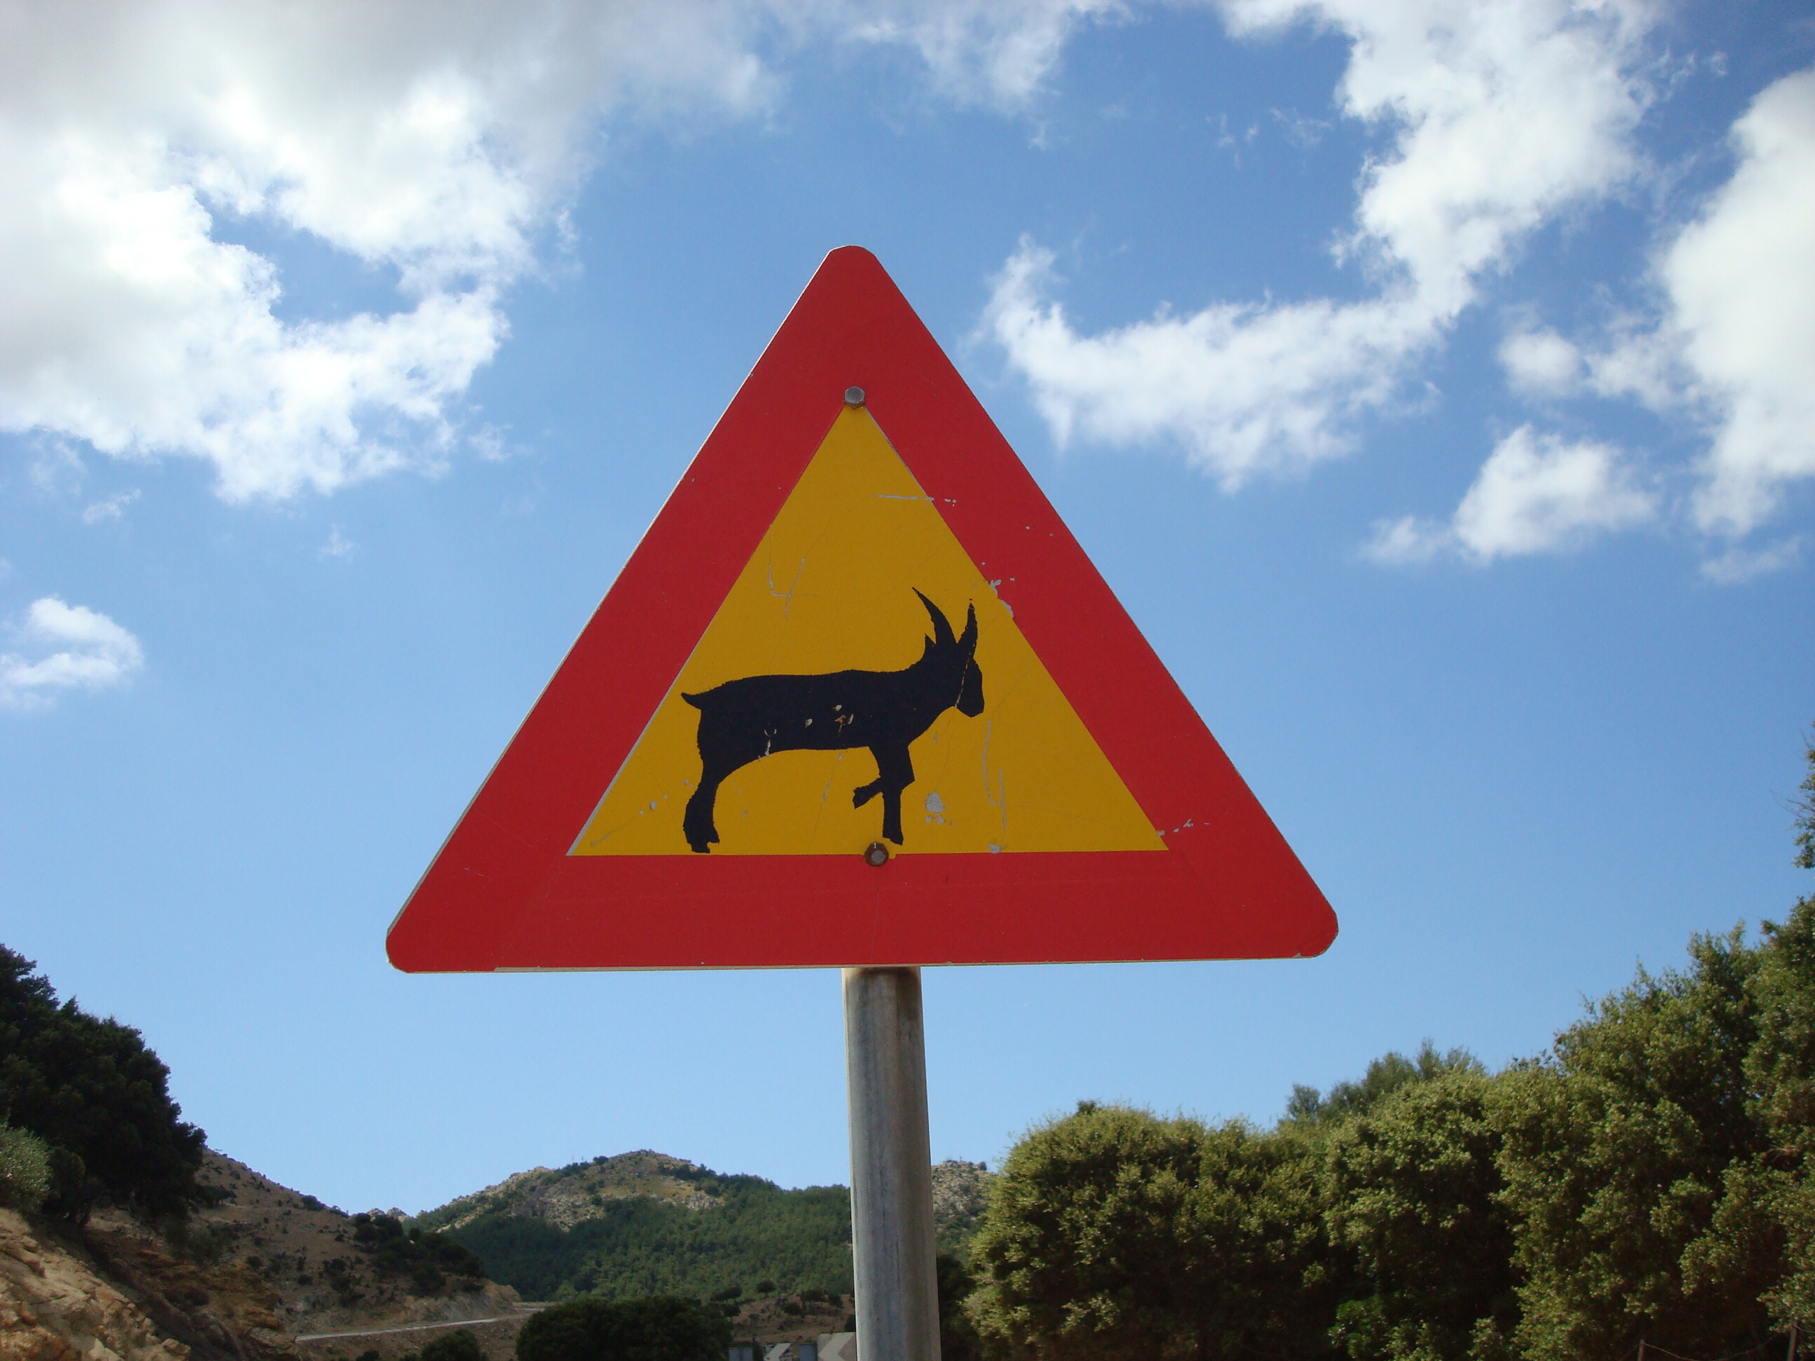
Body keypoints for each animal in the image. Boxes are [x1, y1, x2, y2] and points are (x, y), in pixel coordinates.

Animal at [680, 590, 984, 853]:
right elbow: (900, 777)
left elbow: (900, 778)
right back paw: (700, 844)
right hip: (725, 754)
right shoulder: (886, 742)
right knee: (701, 794)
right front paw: (861, 800)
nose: (979, 708)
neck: (911, 689)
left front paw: (889, 831)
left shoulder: (889, 745)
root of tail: (702, 699)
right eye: (961, 671)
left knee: (706, 792)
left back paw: (708, 838)